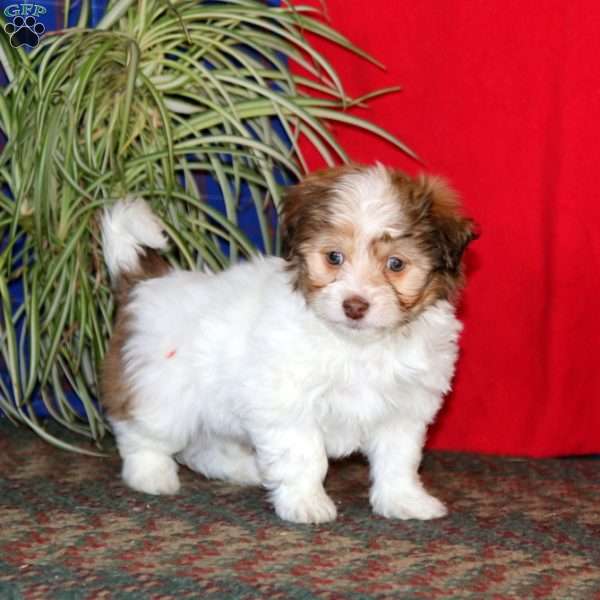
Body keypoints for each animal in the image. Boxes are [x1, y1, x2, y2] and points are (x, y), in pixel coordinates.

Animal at [102, 165, 478, 524]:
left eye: (395, 264)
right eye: (334, 257)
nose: (354, 306)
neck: (358, 344)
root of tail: (146, 282)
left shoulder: (403, 409)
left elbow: (398, 459)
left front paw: (404, 500)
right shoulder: (287, 404)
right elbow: (305, 455)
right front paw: (305, 502)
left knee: (204, 446)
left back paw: (244, 470)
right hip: (160, 392)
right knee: (142, 434)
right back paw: (151, 475)